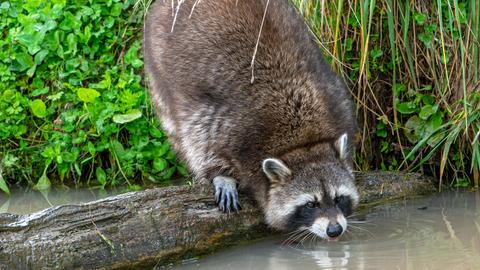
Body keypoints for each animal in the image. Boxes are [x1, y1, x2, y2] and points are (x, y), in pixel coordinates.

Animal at [144, 0, 358, 240]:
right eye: (311, 204)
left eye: (339, 198)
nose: (334, 230)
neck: (302, 143)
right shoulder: (229, 124)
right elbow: (200, 140)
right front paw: (220, 175)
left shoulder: (336, 102)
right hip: (158, 61)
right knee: (173, 124)